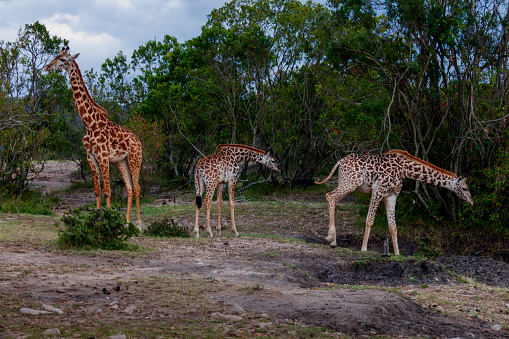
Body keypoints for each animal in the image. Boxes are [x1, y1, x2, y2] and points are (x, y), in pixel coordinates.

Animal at [45, 46, 143, 230]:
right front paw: (95, 221)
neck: (89, 123)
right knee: (129, 188)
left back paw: (139, 225)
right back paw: (127, 224)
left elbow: (107, 192)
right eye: (56, 56)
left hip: (135, 159)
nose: (47, 67)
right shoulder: (90, 156)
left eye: (63, 59)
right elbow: (97, 190)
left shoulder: (103, 156)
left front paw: (109, 222)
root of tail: (139, 141)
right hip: (121, 161)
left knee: (137, 187)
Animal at [314, 150, 472, 256]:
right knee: (330, 197)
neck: (405, 170)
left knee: (330, 196)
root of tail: (339, 162)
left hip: (346, 183)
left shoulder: (391, 196)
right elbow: (369, 220)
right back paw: (332, 239)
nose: (471, 201)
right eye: (464, 188)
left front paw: (397, 254)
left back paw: (332, 238)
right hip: (350, 184)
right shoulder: (378, 190)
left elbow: (393, 227)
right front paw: (364, 248)